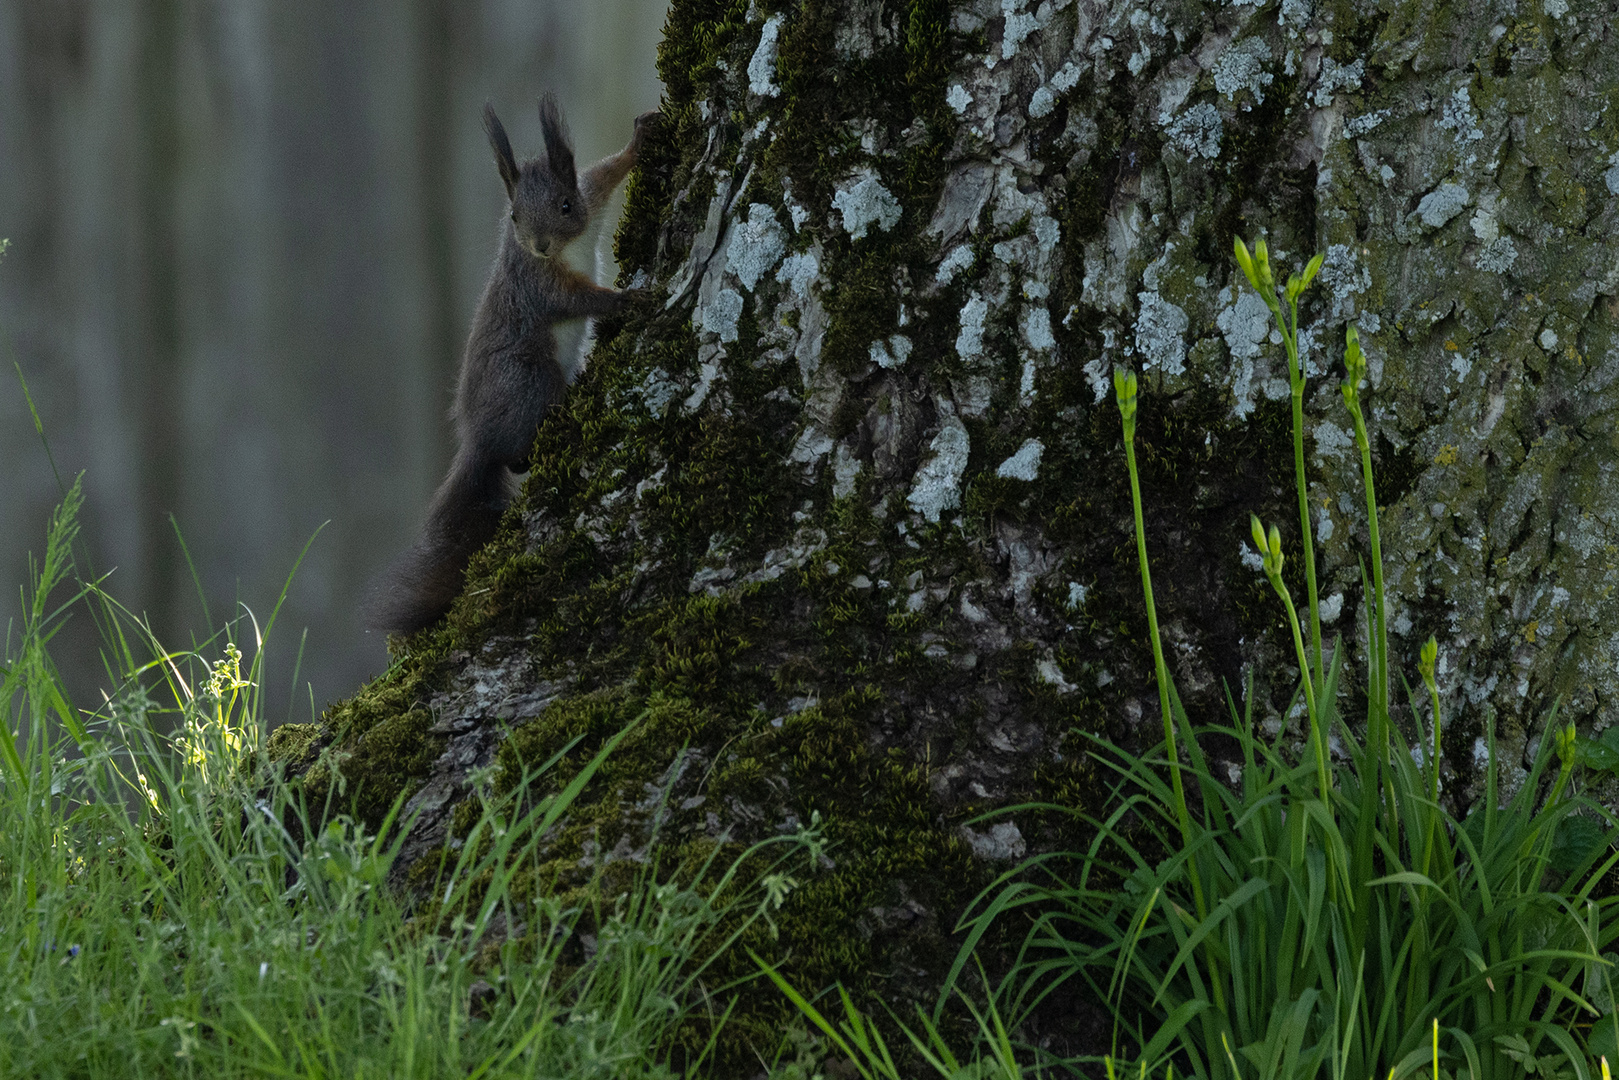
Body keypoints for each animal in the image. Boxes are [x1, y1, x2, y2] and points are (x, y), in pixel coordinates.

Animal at [369, 95, 657, 634]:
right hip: (528, 378)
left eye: (564, 205)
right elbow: (576, 299)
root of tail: (476, 439)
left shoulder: (588, 196)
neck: (566, 247)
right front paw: (624, 300)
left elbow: (605, 172)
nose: (539, 245)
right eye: (517, 217)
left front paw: (639, 140)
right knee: (518, 452)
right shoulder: (537, 283)